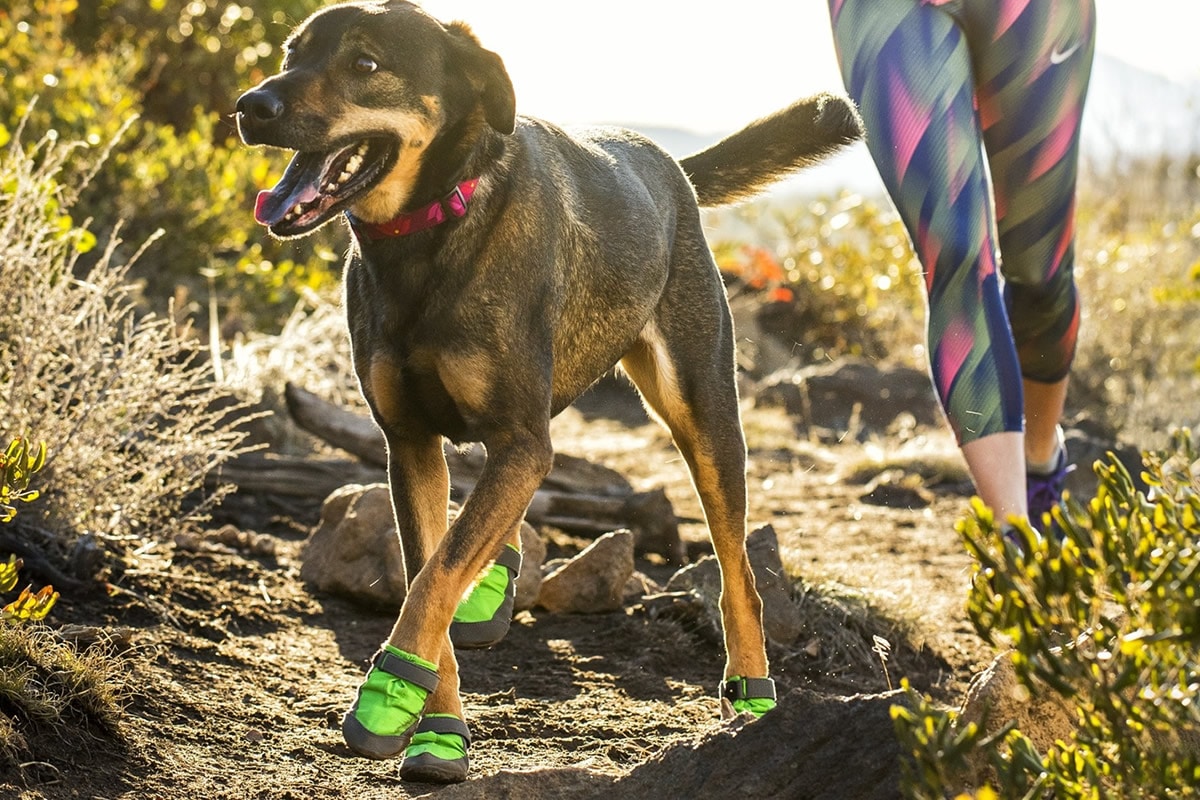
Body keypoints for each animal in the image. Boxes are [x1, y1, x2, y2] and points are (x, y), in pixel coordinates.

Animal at [238, 0, 864, 786]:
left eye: (365, 63)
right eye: (292, 53)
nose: (249, 106)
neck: (430, 228)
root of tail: (668, 166)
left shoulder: (516, 434)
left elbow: (435, 577)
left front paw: (389, 695)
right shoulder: (410, 444)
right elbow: (430, 574)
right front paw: (435, 728)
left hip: (703, 413)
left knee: (738, 571)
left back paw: (751, 693)